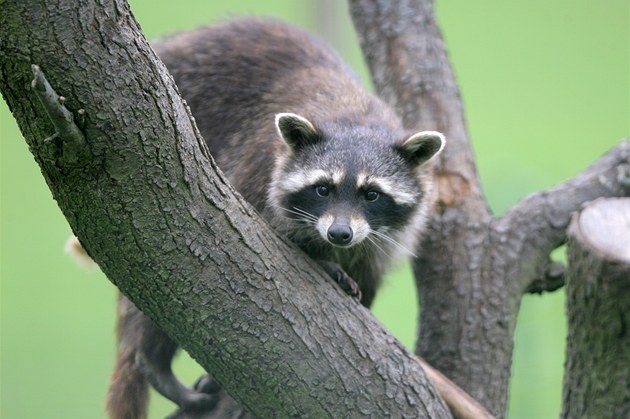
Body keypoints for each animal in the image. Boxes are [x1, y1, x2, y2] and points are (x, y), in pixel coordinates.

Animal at [106, 17, 444, 419]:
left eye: (371, 194)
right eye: (323, 189)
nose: (339, 234)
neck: (355, 118)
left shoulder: (386, 235)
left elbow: (370, 266)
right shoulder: (258, 166)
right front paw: (321, 259)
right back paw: (153, 361)